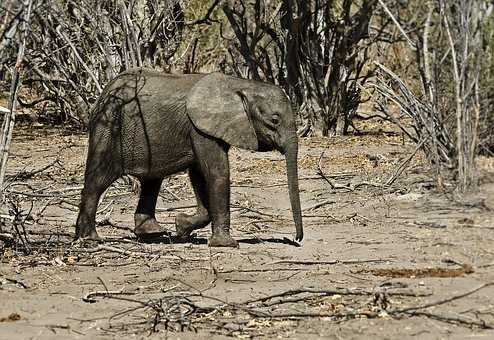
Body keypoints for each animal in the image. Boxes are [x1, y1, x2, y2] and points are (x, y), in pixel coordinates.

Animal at [75, 68, 302, 247]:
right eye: (274, 120)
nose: (296, 239)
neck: (240, 85)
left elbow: (200, 175)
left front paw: (181, 228)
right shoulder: (200, 128)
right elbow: (217, 173)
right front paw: (226, 244)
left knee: (152, 181)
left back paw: (152, 234)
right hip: (107, 126)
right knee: (98, 179)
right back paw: (90, 239)